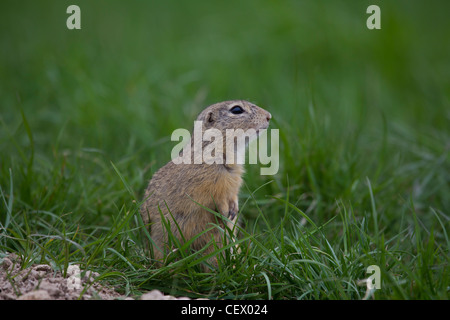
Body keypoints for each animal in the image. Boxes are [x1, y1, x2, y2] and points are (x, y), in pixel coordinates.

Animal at [140, 100, 270, 268]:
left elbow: (233, 196)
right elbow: (217, 199)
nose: (269, 116)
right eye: (236, 110)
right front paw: (226, 213)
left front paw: (234, 210)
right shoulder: (211, 186)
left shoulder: (233, 184)